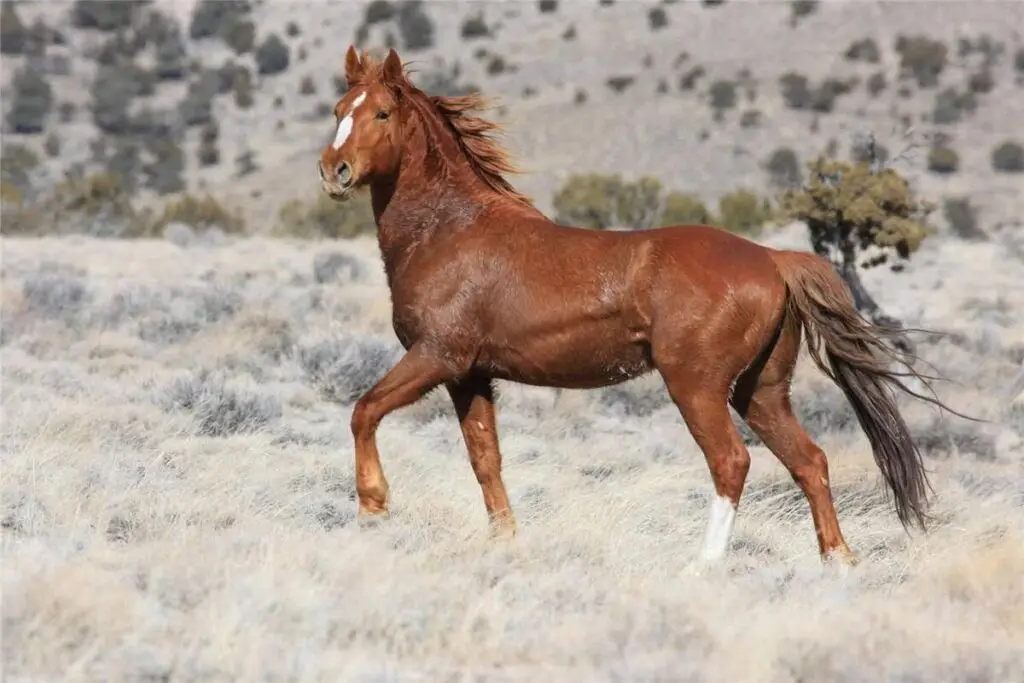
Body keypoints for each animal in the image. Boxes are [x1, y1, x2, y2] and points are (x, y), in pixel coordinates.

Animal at [316, 45, 965, 568]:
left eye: (382, 112)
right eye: (338, 108)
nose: (333, 170)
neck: (450, 231)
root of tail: (773, 258)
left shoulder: (436, 357)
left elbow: (363, 411)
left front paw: (373, 507)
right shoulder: (470, 376)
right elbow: (486, 461)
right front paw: (506, 542)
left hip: (697, 386)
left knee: (733, 462)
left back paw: (704, 566)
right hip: (760, 392)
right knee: (809, 460)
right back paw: (838, 563)